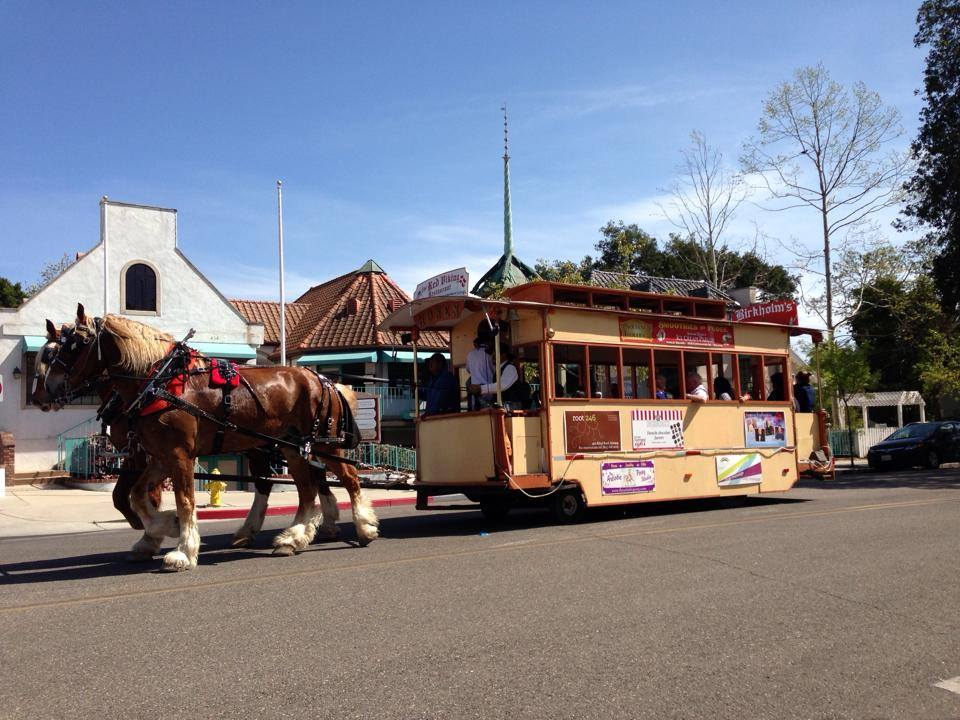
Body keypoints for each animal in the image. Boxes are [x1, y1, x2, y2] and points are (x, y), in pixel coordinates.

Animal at [40, 306, 378, 572]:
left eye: (76, 344)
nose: (47, 389)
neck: (157, 381)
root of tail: (324, 379)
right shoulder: (159, 455)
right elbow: (136, 495)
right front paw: (162, 528)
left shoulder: (177, 454)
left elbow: (184, 500)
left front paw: (182, 550)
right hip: (291, 446)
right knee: (306, 488)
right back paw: (293, 537)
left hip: (320, 443)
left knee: (348, 479)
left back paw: (362, 527)